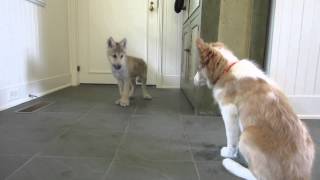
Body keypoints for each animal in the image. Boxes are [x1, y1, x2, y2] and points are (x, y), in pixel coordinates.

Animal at [194, 38, 314, 179]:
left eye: (198, 68)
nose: (193, 80)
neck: (228, 69)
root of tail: (299, 175)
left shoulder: (229, 111)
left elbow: (231, 137)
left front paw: (229, 153)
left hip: (246, 136)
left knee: (257, 176)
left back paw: (230, 164)